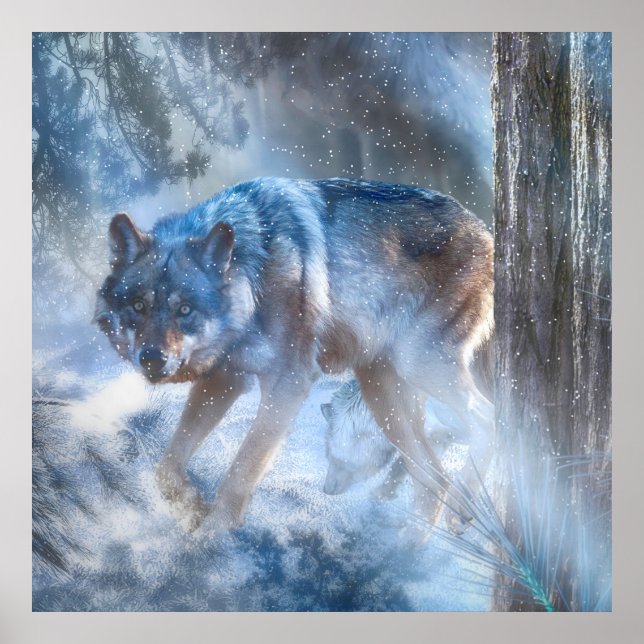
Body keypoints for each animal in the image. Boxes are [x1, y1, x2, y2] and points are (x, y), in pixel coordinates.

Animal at [95, 177, 494, 535]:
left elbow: (243, 467)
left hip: (419, 365)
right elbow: (167, 466)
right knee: (432, 479)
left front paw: (214, 533)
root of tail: (486, 233)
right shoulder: (225, 379)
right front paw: (193, 507)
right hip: (383, 395)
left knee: (490, 422)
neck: (253, 275)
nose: (152, 358)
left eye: (185, 309)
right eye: (139, 305)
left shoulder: (288, 384)